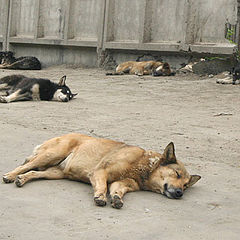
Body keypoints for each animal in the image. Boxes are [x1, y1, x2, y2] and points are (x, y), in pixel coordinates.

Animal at [2, 132, 201, 209]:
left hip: (55, 173)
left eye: (185, 185)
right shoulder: (100, 173)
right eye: (177, 174)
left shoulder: (121, 183)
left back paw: (22, 179)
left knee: (34, 172)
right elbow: (103, 186)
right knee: (25, 166)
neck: (143, 168)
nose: (180, 193)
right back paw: (10, 175)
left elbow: (116, 190)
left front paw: (116, 198)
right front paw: (100, 196)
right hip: (51, 154)